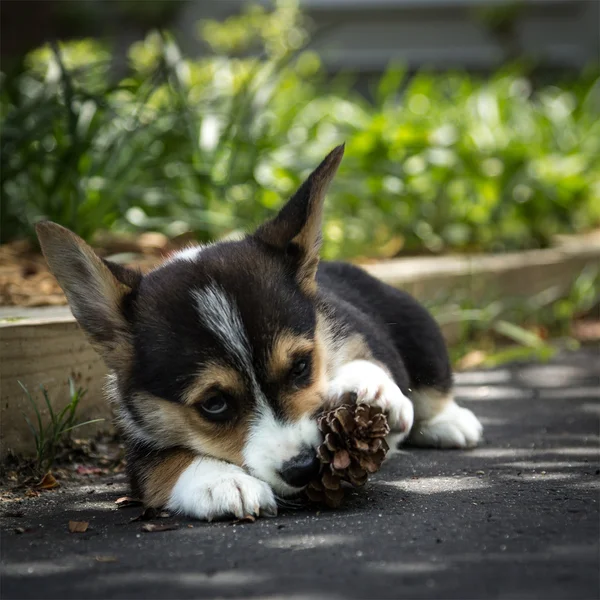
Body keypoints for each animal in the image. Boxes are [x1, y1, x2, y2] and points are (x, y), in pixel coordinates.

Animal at [35, 144, 482, 520]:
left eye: (301, 367)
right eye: (213, 404)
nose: (305, 469)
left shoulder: (346, 329)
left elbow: (364, 357)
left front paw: (371, 389)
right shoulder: (139, 441)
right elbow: (168, 463)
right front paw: (221, 481)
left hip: (419, 329)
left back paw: (449, 422)